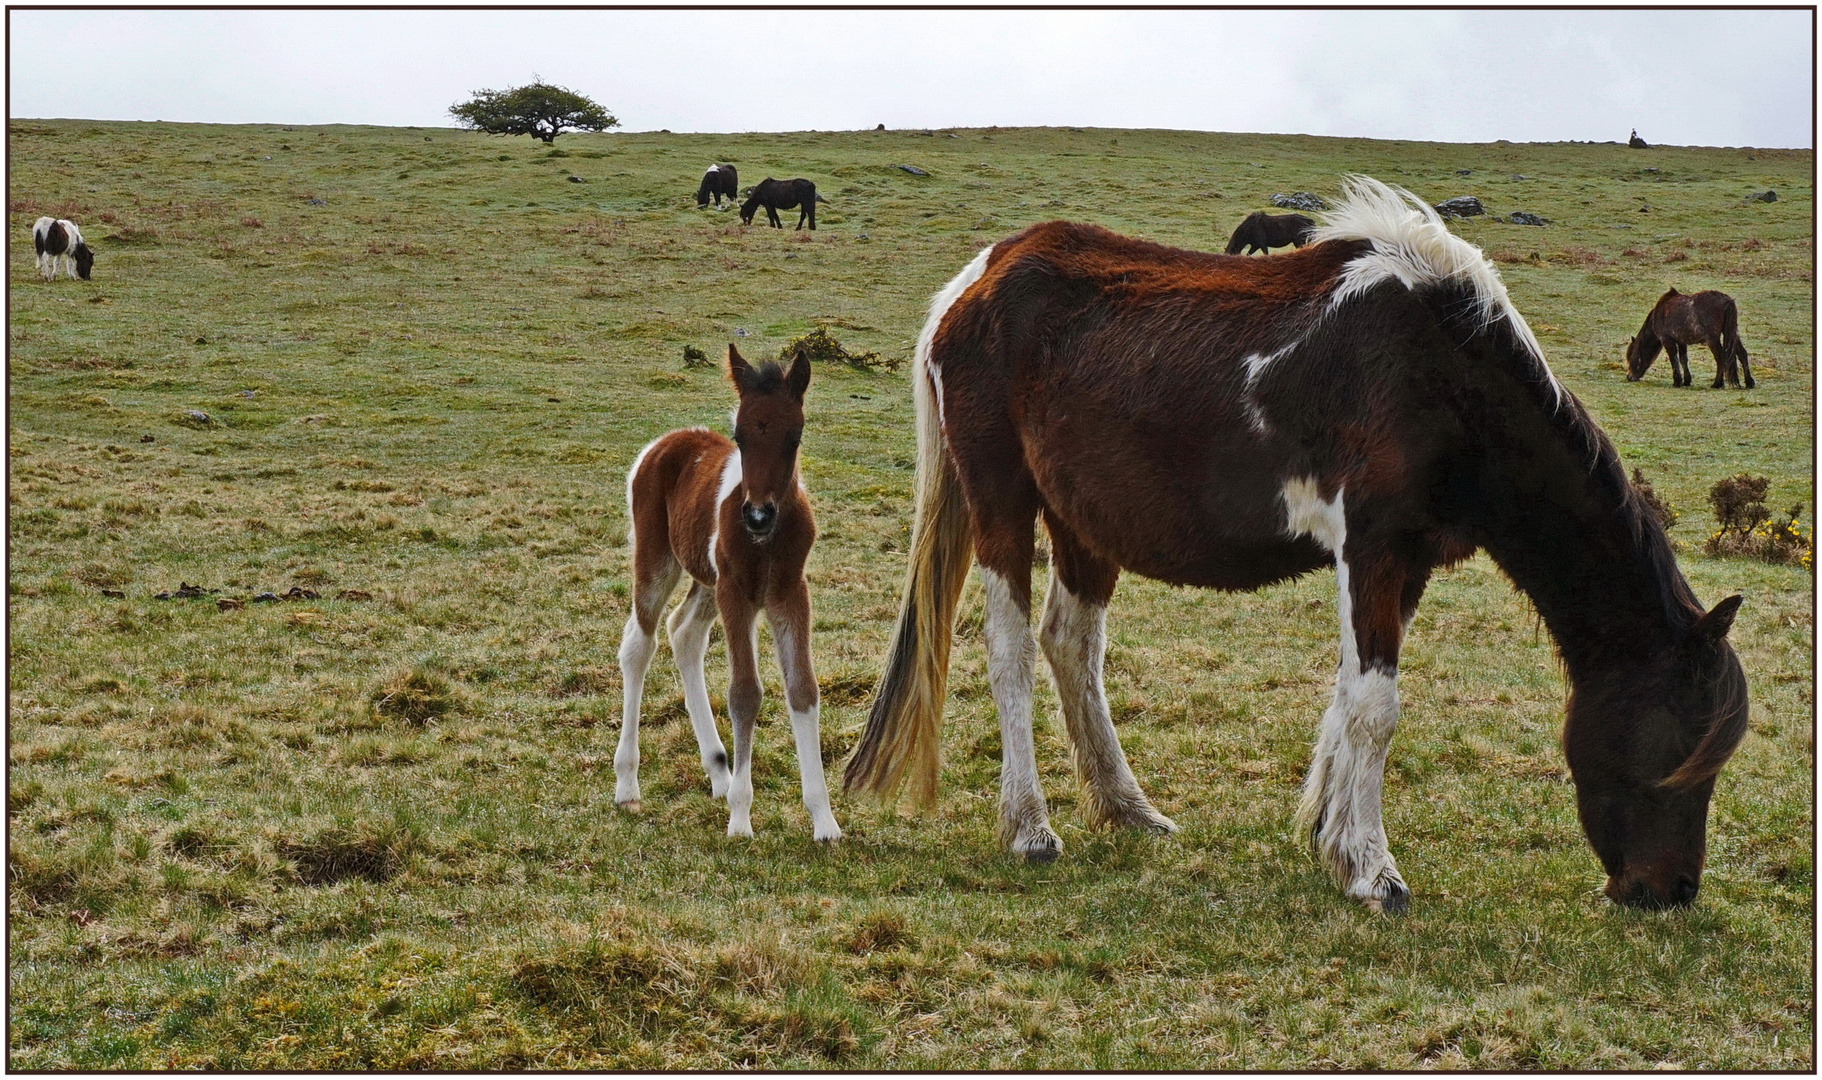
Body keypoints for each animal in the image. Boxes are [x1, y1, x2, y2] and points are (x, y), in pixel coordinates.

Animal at [612, 346, 838, 841]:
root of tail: (666, 442)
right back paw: (627, 784)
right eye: (739, 435)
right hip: (658, 562)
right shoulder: (738, 594)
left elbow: (803, 689)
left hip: (706, 580)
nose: (757, 515)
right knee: (639, 645)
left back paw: (719, 770)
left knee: (683, 635)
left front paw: (824, 820)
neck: (767, 541)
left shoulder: (789, 593)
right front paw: (740, 818)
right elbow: (745, 693)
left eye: (795, 436)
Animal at [849, 174, 1749, 910]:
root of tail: (977, 279)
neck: (1447, 375)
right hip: (1002, 501)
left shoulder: (1405, 563)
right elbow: (1377, 709)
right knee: (1009, 651)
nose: (1669, 891)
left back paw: (1127, 807)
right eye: (1679, 752)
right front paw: (1375, 871)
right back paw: (1030, 828)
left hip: (1082, 522)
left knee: (1070, 645)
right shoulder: (1373, 550)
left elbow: (1352, 696)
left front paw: (1335, 841)